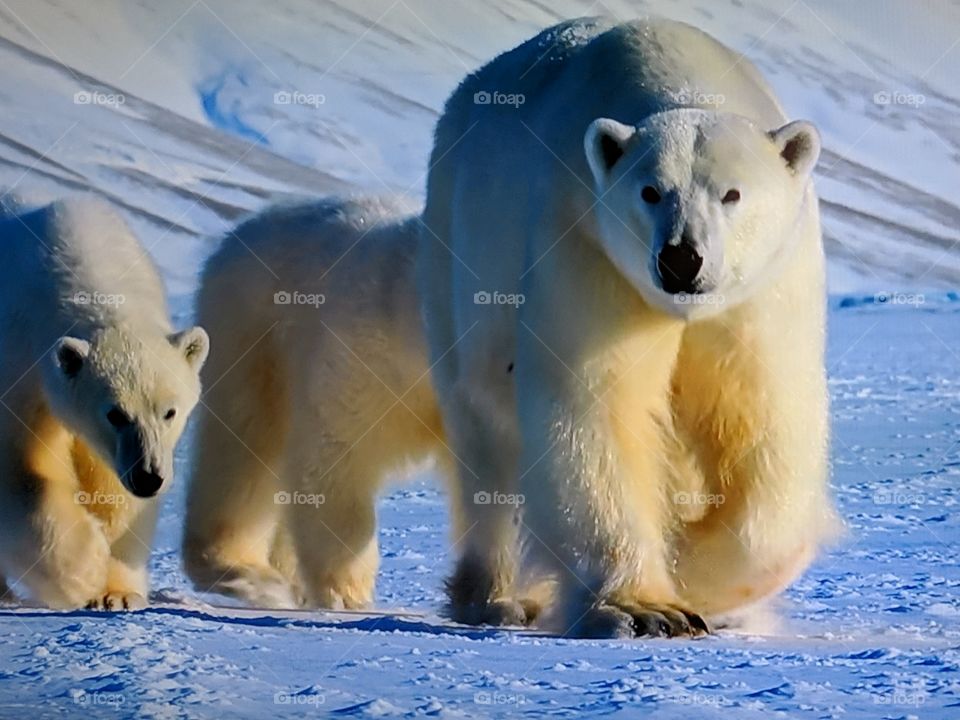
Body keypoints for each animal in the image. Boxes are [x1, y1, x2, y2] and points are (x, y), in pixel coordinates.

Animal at [0, 197, 208, 610]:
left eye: (169, 411)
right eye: (115, 414)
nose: (148, 477)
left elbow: (111, 490)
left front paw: (118, 593)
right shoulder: (19, 365)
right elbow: (20, 474)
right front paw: (87, 569)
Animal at [182, 196, 454, 611]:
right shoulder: (366, 357)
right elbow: (335, 455)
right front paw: (346, 595)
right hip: (252, 333)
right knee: (245, 450)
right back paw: (246, 573)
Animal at [418, 16, 840, 637]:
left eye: (732, 193)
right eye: (650, 191)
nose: (680, 259)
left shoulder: (768, 286)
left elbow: (765, 412)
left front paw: (693, 566)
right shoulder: (585, 241)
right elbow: (597, 403)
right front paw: (648, 608)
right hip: (458, 256)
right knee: (487, 442)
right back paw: (497, 598)